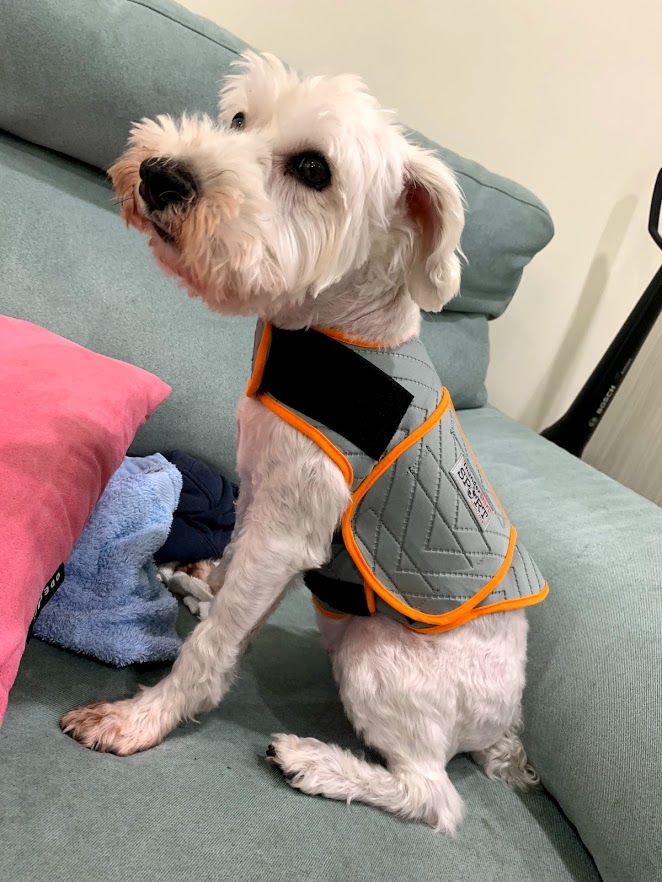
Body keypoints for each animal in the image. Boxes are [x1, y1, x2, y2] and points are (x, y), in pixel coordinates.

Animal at [61, 52, 542, 833]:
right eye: (237, 119)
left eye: (315, 168)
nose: (162, 175)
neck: (340, 334)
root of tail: (503, 729)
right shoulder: (259, 494)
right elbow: (231, 581)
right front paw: (205, 588)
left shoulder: (288, 532)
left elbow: (211, 650)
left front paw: (142, 719)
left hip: (375, 659)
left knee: (434, 797)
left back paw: (315, 763)